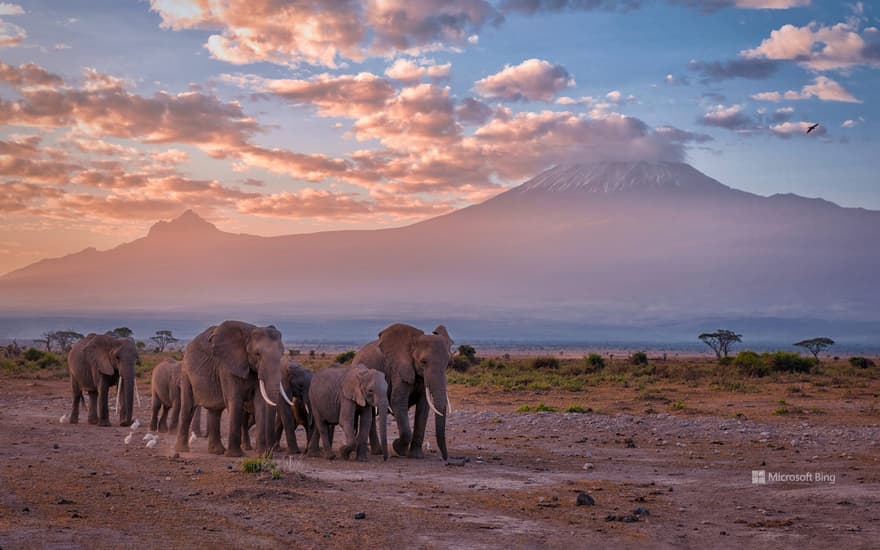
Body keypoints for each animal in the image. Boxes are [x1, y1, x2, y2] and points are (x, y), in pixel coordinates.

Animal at [177, 322, 288, 460]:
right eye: (257, 354)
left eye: (282, 354)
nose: (269, 454)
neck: (249, 332)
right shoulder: (226, 366)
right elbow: (235, 401)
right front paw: (235, 455)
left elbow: (260, 403)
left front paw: (261, 456)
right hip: (186, 372)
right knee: (188, 408)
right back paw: (183, 450)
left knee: (215, 411)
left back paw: (217, 452)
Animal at [350, 324, 454, 462]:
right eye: (423, 362)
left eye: (448, 364)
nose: (445, 458)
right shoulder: (399, 370)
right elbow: (398, 402)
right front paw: (397, 448)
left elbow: (423, 407)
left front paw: (416, 456)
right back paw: (376, 451)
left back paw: (377, 451)